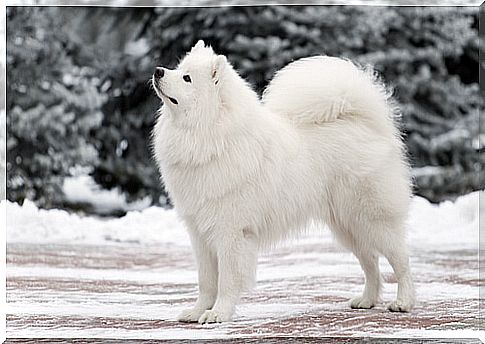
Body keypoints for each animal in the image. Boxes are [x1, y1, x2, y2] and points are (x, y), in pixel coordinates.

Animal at [150, 41, 412, 326]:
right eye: (177, 69)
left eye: (187, 78)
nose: (158, 71)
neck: (212, 135)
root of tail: (367, 125)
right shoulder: (200, 233)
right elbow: (206, 281)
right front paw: (197, 311)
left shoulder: (231, 232)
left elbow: (227, 281)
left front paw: (218, 313)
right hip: (348, 226)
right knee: (371, 262)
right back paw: (367, 300)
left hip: (373, 219)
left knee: (401, 260)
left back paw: (404, 302)